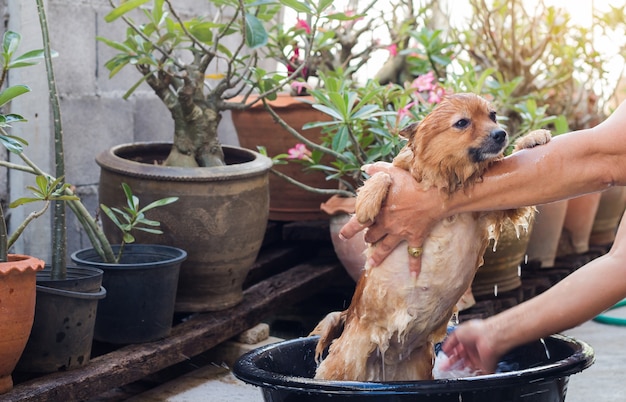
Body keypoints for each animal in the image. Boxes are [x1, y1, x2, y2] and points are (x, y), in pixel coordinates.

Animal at [310, 93, 548, 380]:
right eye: (462, 123)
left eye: (492, 116)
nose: (501, 133)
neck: (448, 179)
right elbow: (385, 174)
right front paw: (367, 201)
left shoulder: (495, 203)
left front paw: (532, 138)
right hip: (346, 364)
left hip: (416, 369)